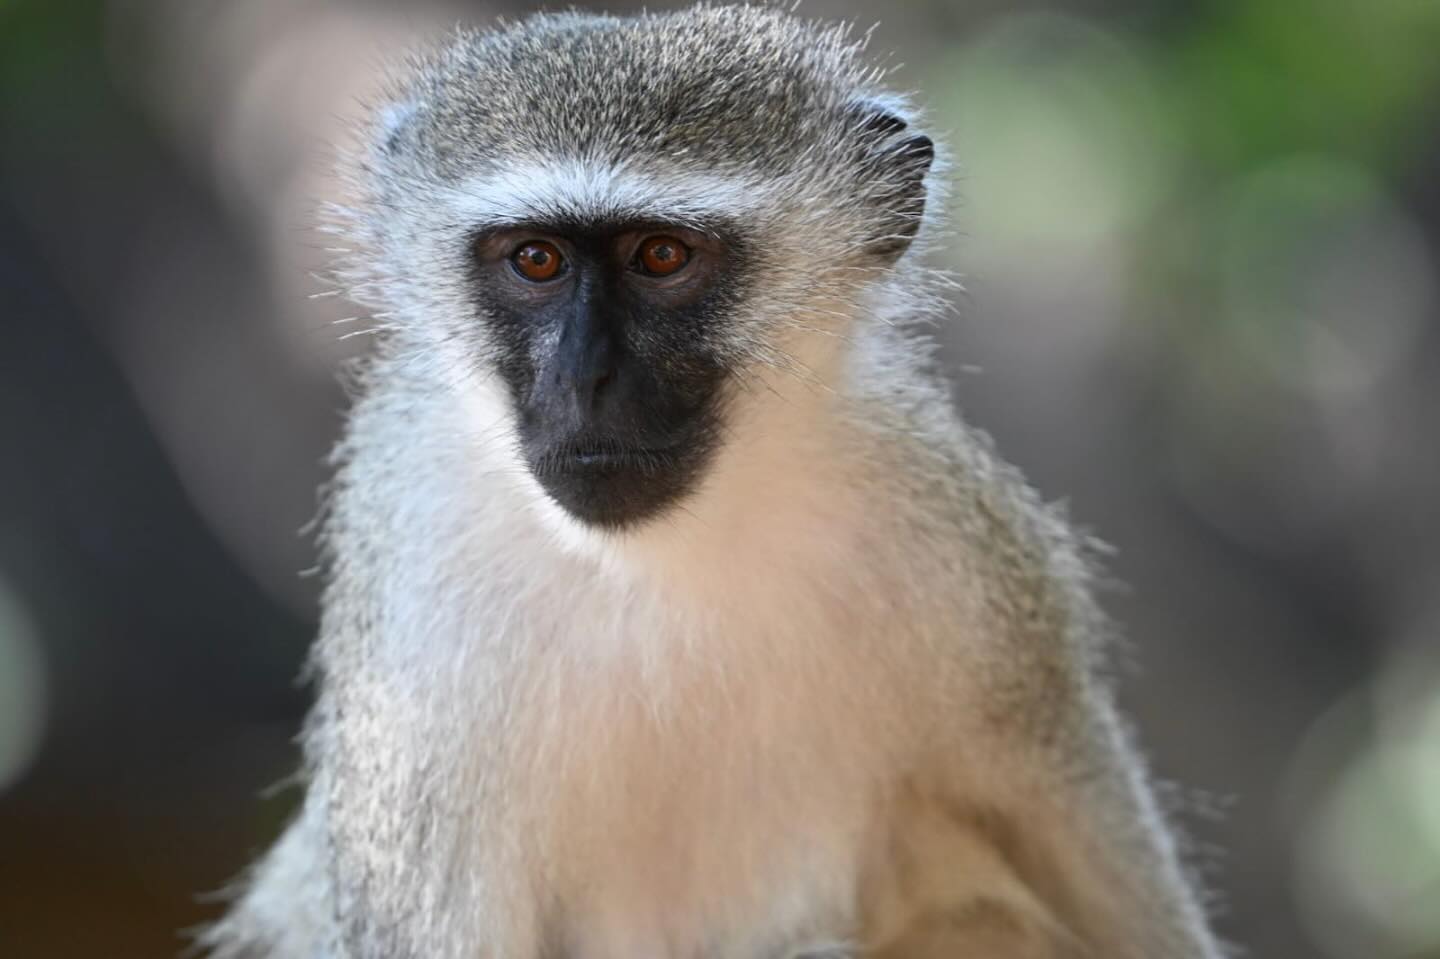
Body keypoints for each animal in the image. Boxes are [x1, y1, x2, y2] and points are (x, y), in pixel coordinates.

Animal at [200, 5, 1227, 958]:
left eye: (662, 256)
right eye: (536, 259)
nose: (586, 380)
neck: (657, 559)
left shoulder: (974, 573)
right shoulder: (408, 632)